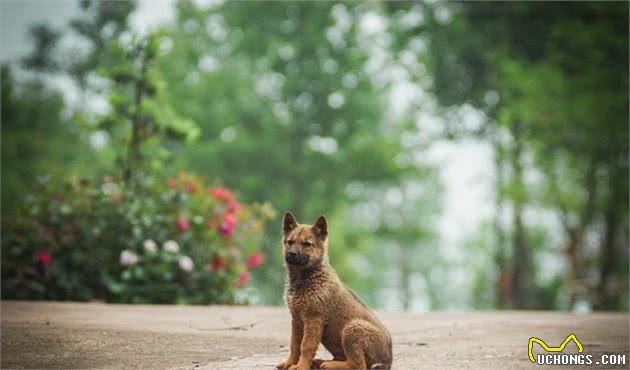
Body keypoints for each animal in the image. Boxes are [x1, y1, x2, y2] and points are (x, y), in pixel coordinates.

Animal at [278, 211, 392, 370]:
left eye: (307, 244)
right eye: (290, 242)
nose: (292, 254)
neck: (305, 279)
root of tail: (388, 361)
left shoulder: (313, 319)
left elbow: (306, 346)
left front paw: (301, 366)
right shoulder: (296, 320)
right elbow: (294, 345)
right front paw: (290, 363)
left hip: (352, 329)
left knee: (358, 365)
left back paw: (328, 365)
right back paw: (319, 362)